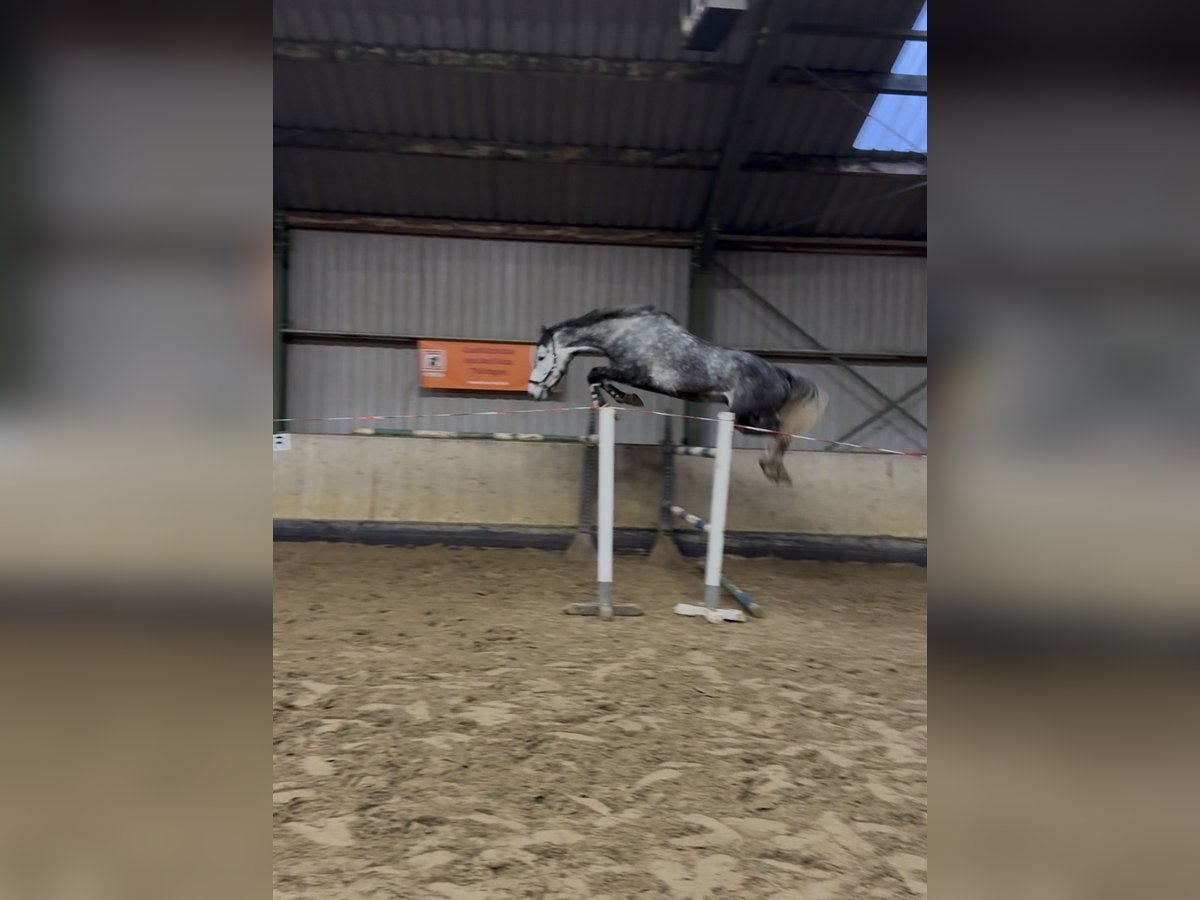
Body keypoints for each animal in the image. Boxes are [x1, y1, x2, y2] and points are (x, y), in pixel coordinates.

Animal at [527, 306, 828, 485]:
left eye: (540, 357)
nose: (532, 391)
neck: (624, 333)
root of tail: (781, 374)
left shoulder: (634, 373)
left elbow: (594, 374)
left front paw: (610, 402)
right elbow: (598, 377)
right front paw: (623, 400)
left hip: (747, 418)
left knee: (782, 431)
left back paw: (772, 467)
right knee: (782, 432)